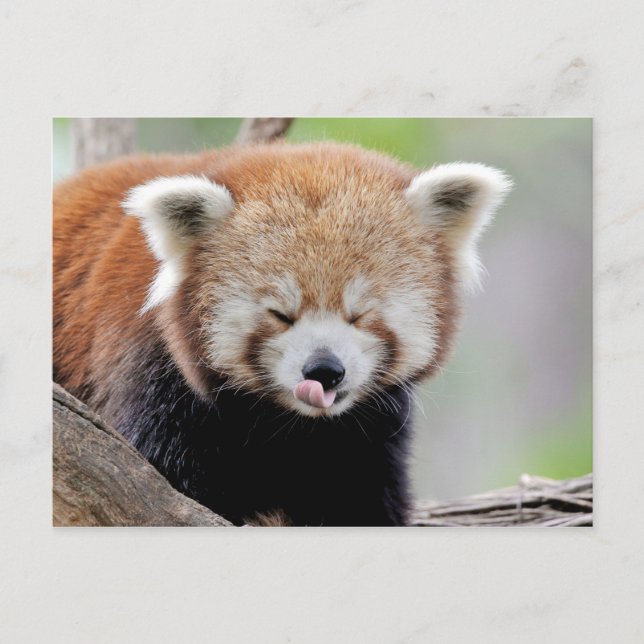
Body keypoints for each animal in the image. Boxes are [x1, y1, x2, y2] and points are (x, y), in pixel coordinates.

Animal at [53, 141, 510, 526]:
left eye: (360, 314)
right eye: (281, 315)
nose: (325, 370)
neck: (290, 427)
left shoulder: (369, 434)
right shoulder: (154, 383)